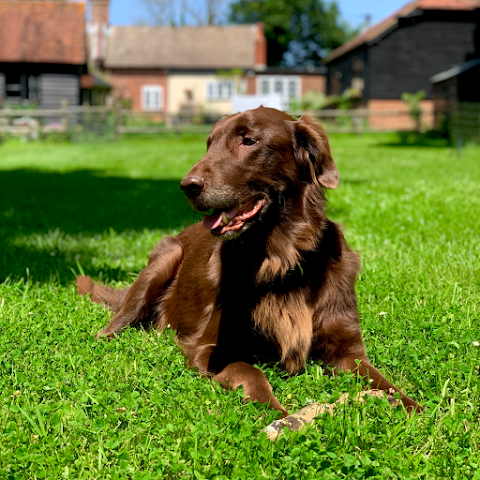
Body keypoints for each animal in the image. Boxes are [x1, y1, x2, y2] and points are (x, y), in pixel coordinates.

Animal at [77, 107, 422, 414]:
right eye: (209, 144)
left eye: (249, 141)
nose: (188, 186)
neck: (280, 259)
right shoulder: (211, 349)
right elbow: (252, 373)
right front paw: (277, 414)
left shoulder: (348, 351)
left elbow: (387, 384)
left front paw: (415, 410)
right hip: (165, 257)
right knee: (116, 323)